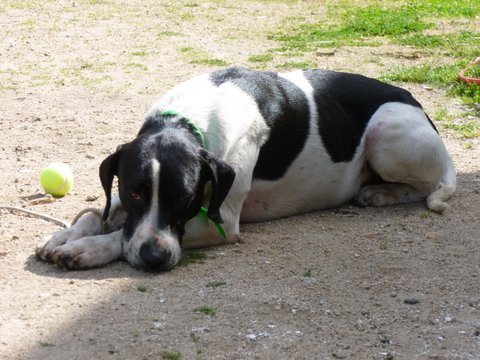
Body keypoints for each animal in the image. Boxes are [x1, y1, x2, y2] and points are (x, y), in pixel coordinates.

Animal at [35, 67, 456, 272]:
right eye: (134, 191)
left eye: (185, 198)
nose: (155, 260)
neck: (185, 121)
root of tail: (418, 106)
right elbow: (102, 215)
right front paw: (66, 235)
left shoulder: (218, 222)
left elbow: (121, 235)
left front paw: (88, 249)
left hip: (386, 128)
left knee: (425, 185)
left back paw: (382, 192)